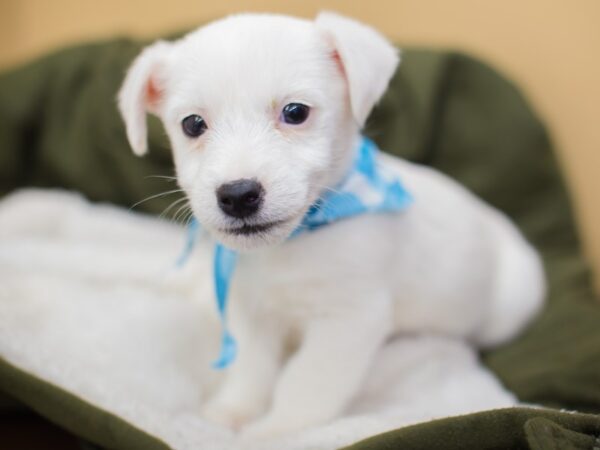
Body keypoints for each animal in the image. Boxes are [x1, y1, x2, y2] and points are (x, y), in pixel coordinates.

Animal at [117, 13, 544, 440]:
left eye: (295, 112)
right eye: (193, 124)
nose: (237, 195)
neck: (293, 244)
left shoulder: (348, 320)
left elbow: (306, 382)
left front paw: (278, 431)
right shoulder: (252, 310)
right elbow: (253, 368)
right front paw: (233, 411)